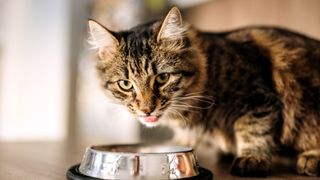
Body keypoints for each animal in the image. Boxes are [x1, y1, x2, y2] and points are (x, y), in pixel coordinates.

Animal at [87, 6, 320, 176]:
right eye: (126, 84)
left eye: (162, 78)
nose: (147, 110)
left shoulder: (257, 99)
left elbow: (254, 129)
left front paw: (252, 158)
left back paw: (310, 159)